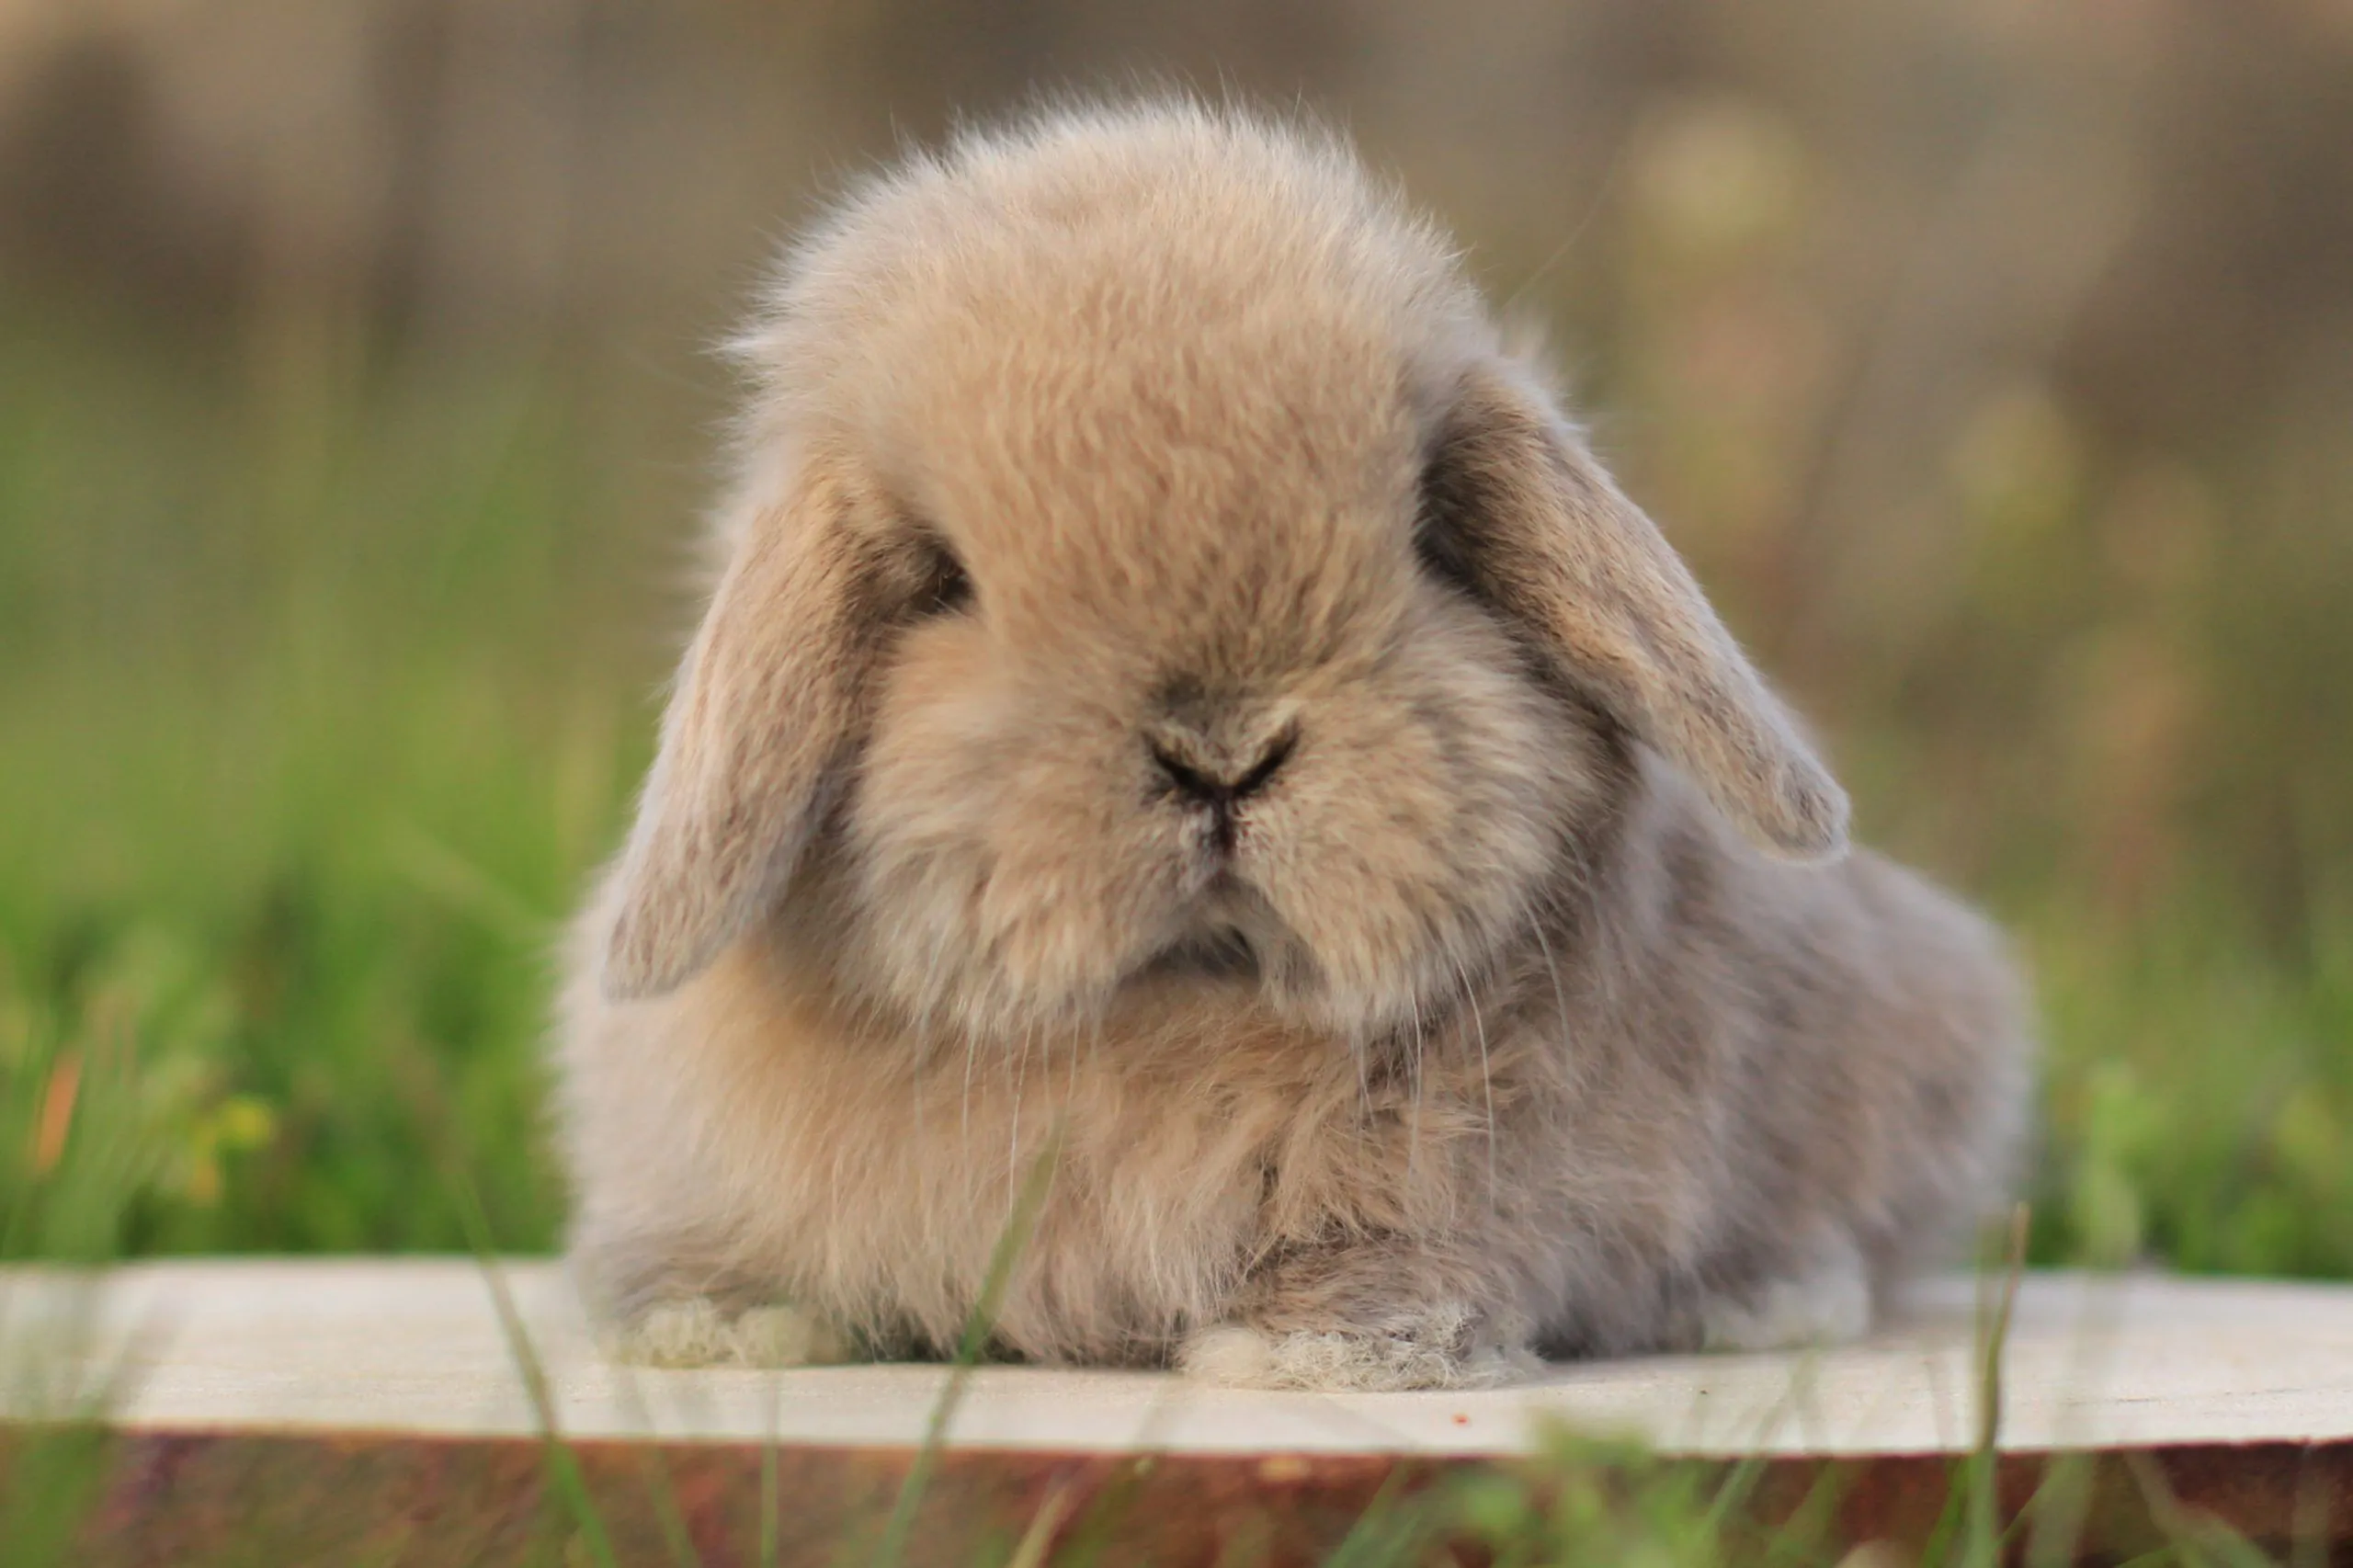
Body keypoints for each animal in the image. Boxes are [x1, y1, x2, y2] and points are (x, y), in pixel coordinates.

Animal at [553, 98, 2035, 1392]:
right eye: (942, 580)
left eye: (1429, 535)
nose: (1220, 748)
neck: (1180, 1014)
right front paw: (709, 1326)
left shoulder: (1474, 1189)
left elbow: (1407, 1254)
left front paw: (1311, 1351)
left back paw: (1761, 1301)